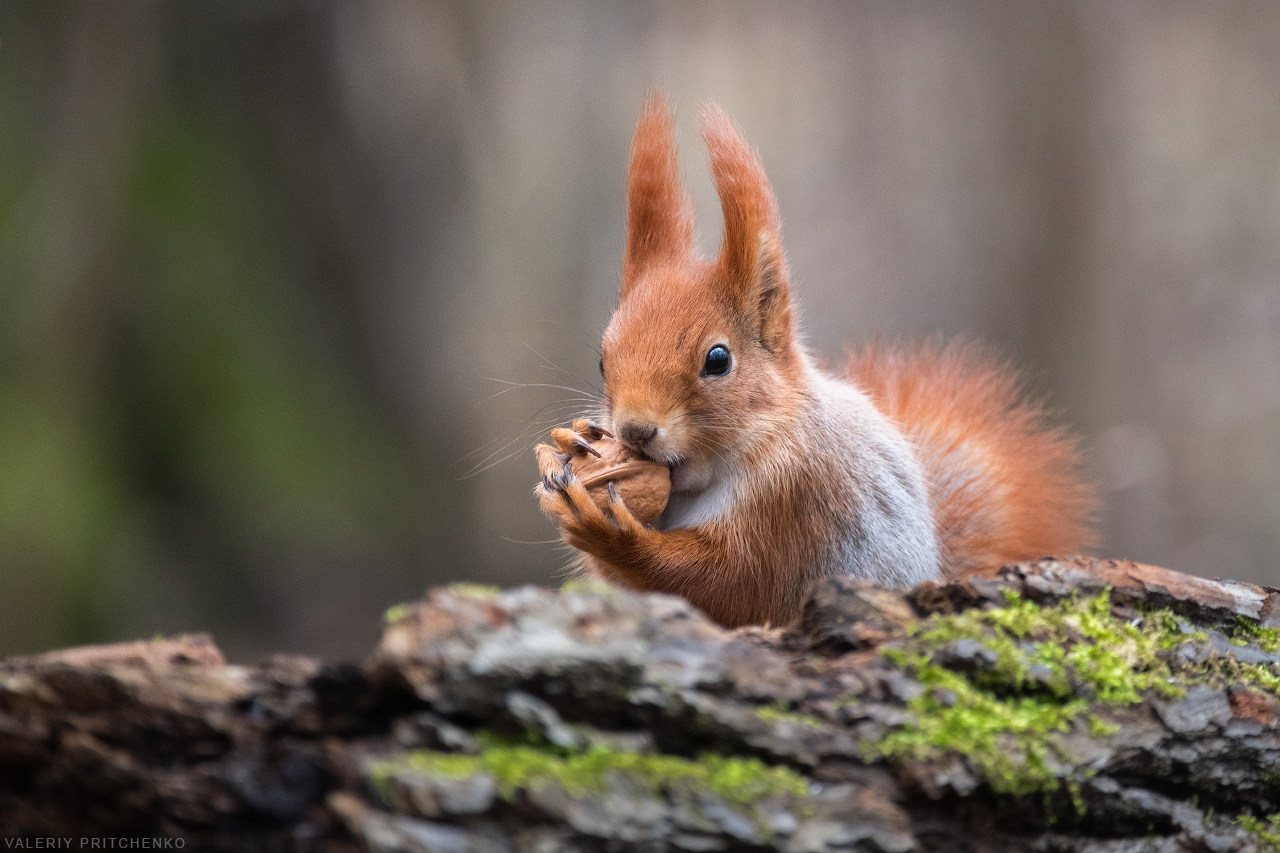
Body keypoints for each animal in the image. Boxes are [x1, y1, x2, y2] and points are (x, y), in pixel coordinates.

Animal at [535, 94, 1095, 625]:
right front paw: (570, 441)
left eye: (718, 360)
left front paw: (608, 531)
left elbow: (732, 578)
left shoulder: (795, 494)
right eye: (603, 361)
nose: (634, 431)